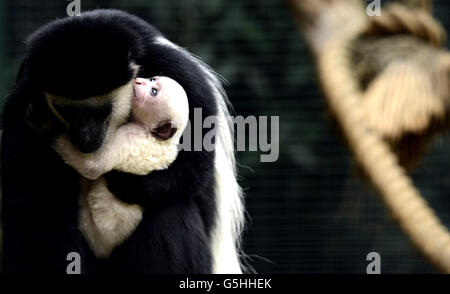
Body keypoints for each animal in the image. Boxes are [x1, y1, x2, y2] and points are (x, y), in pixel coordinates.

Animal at [0, 9, 246, 276]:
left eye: (101, 110)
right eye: (66, 111)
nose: (84, 138)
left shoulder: (185, 80)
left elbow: (196, 166)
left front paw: (125, 183)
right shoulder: (24, 100)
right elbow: (32, 202)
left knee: (171, 212)